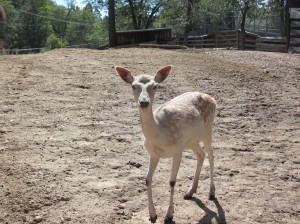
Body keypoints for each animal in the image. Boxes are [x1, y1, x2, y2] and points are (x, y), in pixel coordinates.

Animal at [116, 65, 217, 223]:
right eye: (133, 86)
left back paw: (211, 192)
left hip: (208, 129)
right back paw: (190, 191)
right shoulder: (153, 153)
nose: (144, 102)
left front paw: (169, 215)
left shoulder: (178, 151)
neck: (160, 136)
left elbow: (172, 182)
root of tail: (211, 98)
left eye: (155, 86)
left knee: (211, 155)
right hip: (192, 140)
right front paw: (152, 215)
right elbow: (147, 179)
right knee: (201, 154)